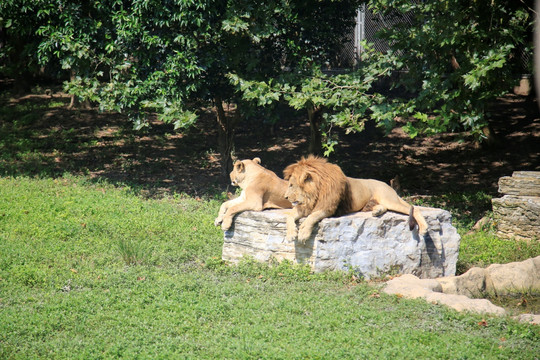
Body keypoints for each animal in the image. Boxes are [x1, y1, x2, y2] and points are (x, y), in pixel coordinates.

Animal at [284, 156, 428, 243]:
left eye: (291, 185)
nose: (285, 197)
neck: (313, 195)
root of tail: (387, 185)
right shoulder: (304, 207)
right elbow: (289, 216)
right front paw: (291, 234)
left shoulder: (328, 208)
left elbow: (312, 217)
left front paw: (303, 233)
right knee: (384, 207)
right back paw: (377, 211)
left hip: (390, 200)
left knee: (414, 209)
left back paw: (424, 228)